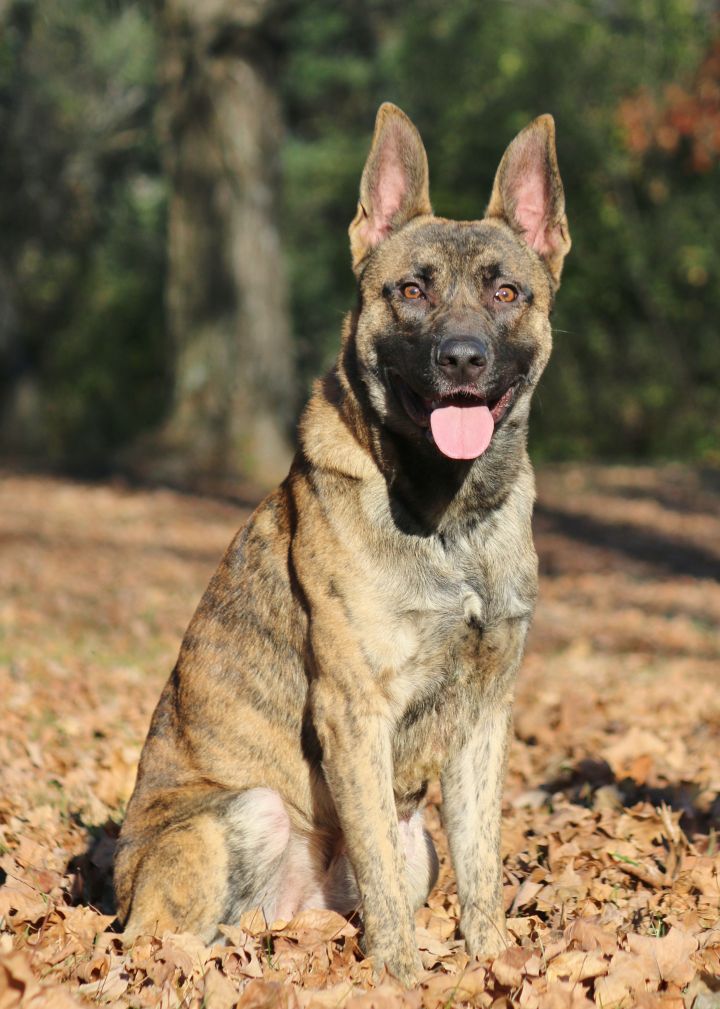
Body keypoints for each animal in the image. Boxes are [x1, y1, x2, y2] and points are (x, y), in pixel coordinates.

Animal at [114, 102, 568, 984]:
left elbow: (484, 862)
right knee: (165, 937)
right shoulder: (354, 710)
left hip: (417, 840)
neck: (451, 518)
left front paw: (492, 960)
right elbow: (384, 884)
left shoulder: (485, 715)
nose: (464, 358)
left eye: (506, 291)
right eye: (412, 290)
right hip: (242, 814)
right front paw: (403, 978)